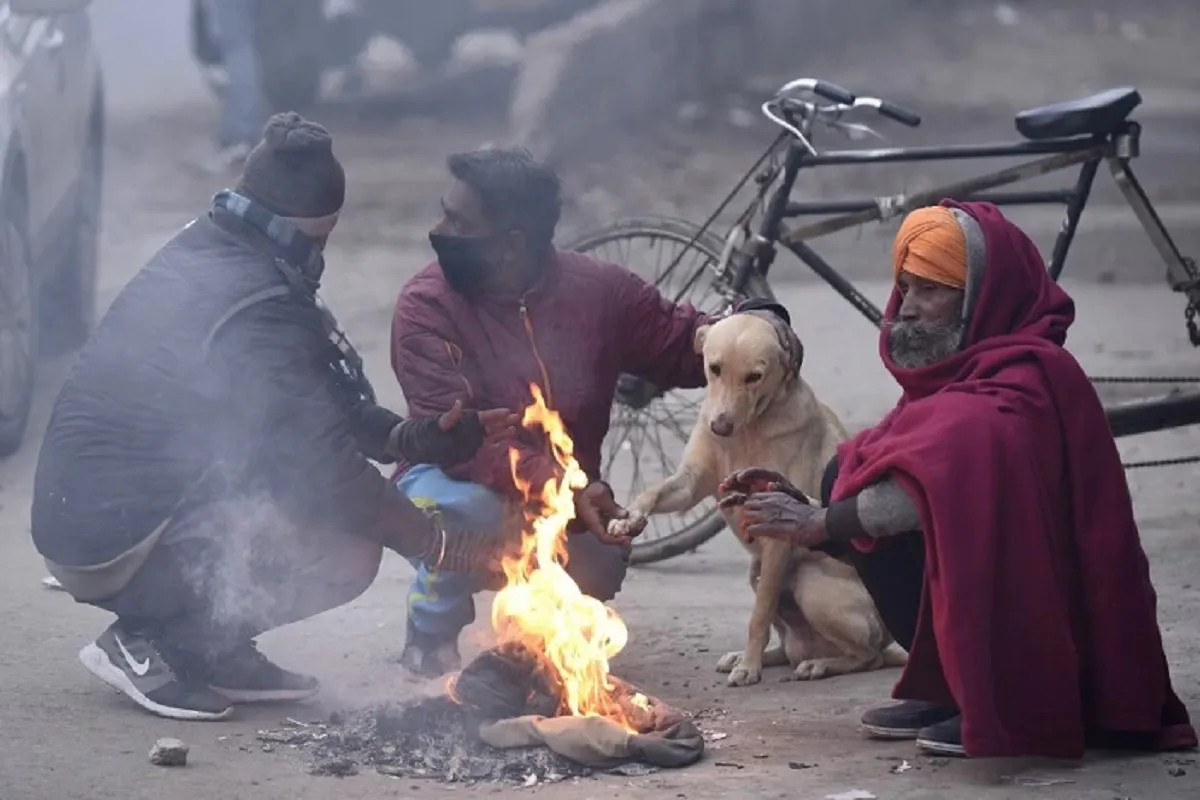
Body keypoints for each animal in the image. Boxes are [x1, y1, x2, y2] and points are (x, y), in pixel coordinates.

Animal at [614, 309, 902, 686]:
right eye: (714, 368)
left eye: (754, 377)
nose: (719, 426)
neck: (747, 430)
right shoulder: (689, 485)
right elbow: (654, 491)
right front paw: (629, 518)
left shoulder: (777, 534)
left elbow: (759, 616)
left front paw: (749, 668)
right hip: (757, 572)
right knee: (790, 645)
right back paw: (769, 657)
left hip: (810, 584)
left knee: (868, 656)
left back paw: (819, 664)